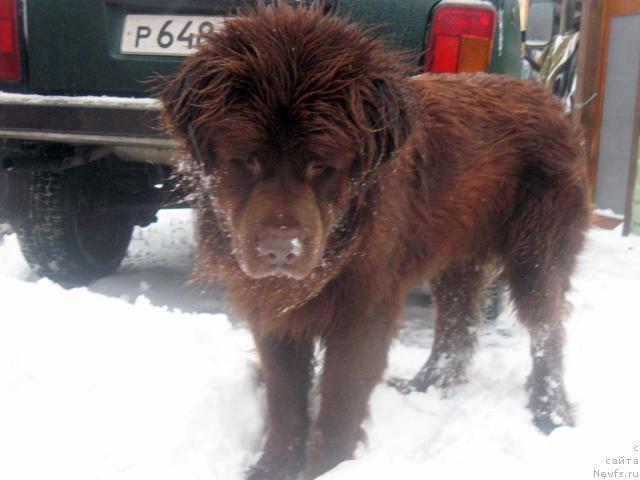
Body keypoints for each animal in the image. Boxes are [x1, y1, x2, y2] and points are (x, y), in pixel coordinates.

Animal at [160, 4, 592, 480]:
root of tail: (549, 100)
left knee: (546, 329)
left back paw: (551, 413)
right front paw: (273, 467)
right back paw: (425, 386)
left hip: (536, 250)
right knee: (457, 326)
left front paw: (327, 469)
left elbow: (340, 402)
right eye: (249, 159)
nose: (280, 250)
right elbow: (284, 396)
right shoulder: (271, 310)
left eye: (319, 165)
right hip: (458, 257)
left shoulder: (364, 307)